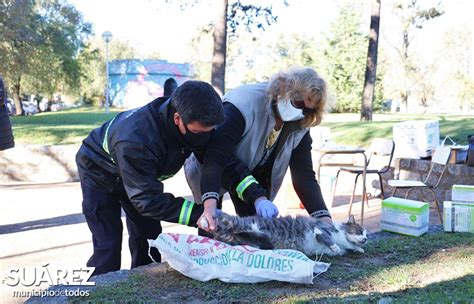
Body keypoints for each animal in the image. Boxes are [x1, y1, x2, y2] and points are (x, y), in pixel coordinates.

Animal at [213, 214, 368, 256]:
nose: (366, 239)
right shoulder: (320, 229)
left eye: (366, 234)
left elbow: (347, 248)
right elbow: (327, 239)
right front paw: (335, 246)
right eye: (360, 231)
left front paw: (359, 249)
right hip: (237, 224)